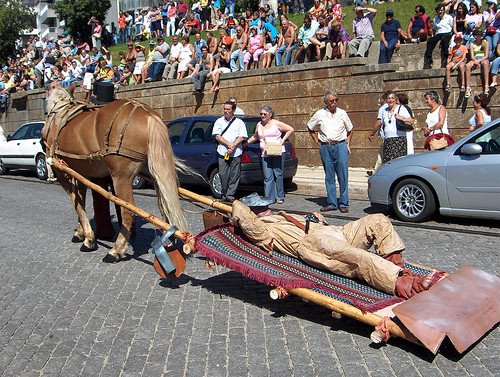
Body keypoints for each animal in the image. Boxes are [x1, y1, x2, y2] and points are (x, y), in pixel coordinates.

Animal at [42, 84, 188, 262]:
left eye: (47, 111)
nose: (42, 132)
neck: (61, 114)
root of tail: (147, 113)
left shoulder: (61, 171)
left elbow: (76, 202)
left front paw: (88, 239)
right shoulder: (81, 172)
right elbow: (80, 200)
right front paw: (81, 233)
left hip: (121, 178)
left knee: (128, 211)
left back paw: (116, 250)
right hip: (155, 174)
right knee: (164, 206)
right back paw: (167, 241)